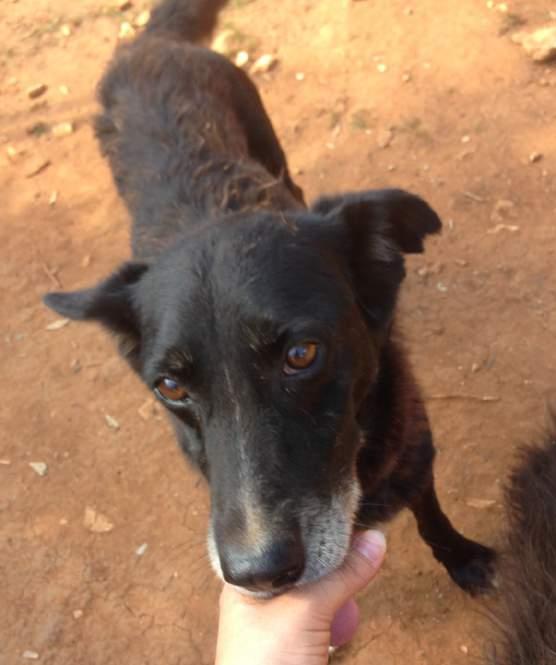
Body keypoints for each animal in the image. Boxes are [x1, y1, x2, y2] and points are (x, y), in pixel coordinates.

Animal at [43, 0, 496, 592]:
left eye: (301, 355)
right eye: (170, 387)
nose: (257, 575)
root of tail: (150, 41)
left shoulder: (414, 448)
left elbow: (431, 512)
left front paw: (461, 556)